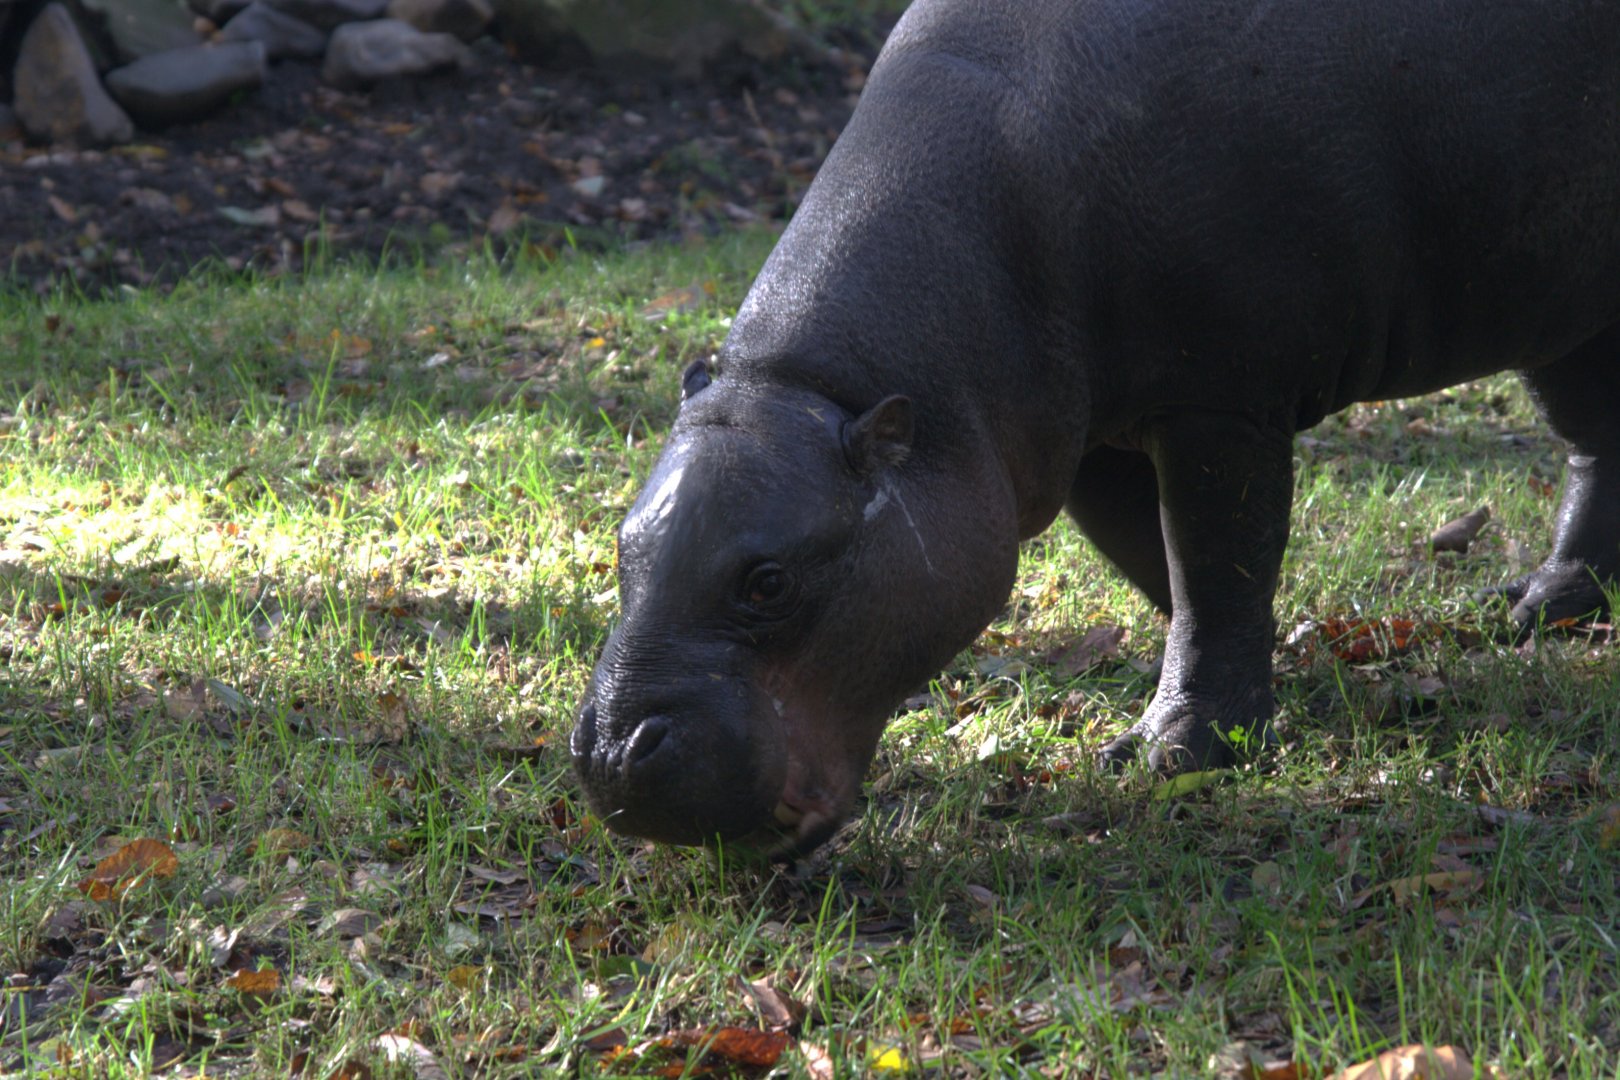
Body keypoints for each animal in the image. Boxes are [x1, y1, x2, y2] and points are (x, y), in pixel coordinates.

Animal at [571, 0, 1620, 856]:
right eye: (622, 544)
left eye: (769, 582)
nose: (613, 756)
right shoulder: (1080, 442)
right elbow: (1168, 570)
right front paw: (1276, 691)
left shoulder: (1220, 401)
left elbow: (1216, 568)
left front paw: (1171, 755)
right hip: (1561, 306)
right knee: (1594, 437)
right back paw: (1534, 606)